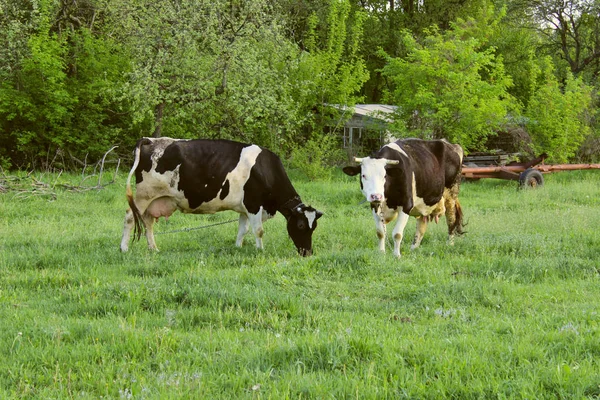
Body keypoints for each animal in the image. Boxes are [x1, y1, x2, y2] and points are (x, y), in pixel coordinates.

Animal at [119, 138, 322, 256]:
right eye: (301, 225)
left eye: (314, 227)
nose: (308, 253)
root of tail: (151, 139)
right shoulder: (254, 204)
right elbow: (258, 230)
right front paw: (260, 250)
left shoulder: (244, 208)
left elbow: (243, 230)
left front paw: (238, 247)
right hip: (144, 195)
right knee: (130, 217)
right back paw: (124, 248)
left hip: (156, 199)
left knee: (148, 221)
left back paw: (153, 248)